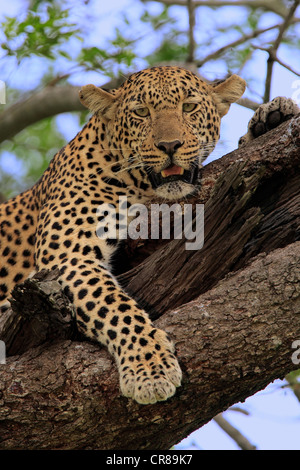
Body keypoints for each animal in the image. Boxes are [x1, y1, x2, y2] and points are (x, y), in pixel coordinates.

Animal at [1, 65, 298, 404]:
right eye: (142, 112)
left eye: (189, 107)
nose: (170, 146)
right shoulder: (68, 256)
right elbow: (116, 307)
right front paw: (150, 369)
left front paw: (270, 118)